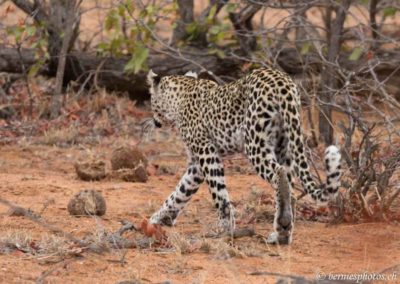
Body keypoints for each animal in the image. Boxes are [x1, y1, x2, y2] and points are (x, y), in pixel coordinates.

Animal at [145, 66, 342, 244]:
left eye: (150, 97)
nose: (155, 121)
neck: (180, 96)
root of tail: (283, 82)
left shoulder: (206, 151)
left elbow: (218, 193)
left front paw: (224, 228)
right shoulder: (196, 165)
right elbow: (180, 192)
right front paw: (159, 218)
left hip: (254, 142)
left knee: (279, 174)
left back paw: (282, 225)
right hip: (284, 144)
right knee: (289, 185)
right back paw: (282, 233)